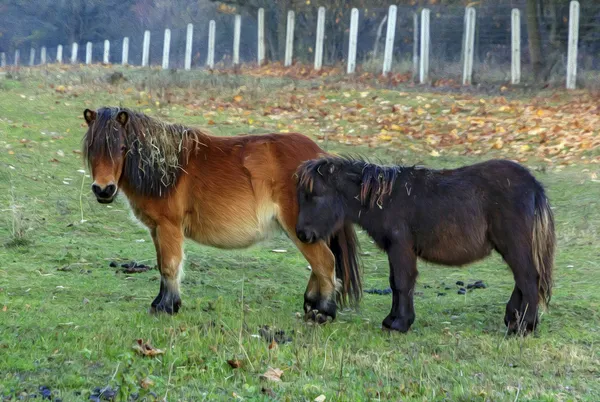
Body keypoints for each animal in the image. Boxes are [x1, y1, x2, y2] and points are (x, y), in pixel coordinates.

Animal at [81, 106, 360, 320]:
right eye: (92, 147)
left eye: (122, 147)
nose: (104, 190)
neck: (165, 169)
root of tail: (321, 157)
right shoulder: (156, 230)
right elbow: (162, 265)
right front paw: (161, 303)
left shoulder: (168, 226)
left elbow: (170, 266)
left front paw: (167, 307)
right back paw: (312, 304)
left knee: (325, 262)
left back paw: (323, 312)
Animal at [298, 157, 556, 336]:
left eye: (315, 194)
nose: (302, 234)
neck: (385, 199)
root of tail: (533, 185)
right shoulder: (396, 250)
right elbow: (397, 283)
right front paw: (393, 320)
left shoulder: (400, 247)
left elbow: (402, 282)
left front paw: (400, 323)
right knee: (523, 280)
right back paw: (514, 320)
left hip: (514, 244)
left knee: (528, 279)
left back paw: (524, 327)